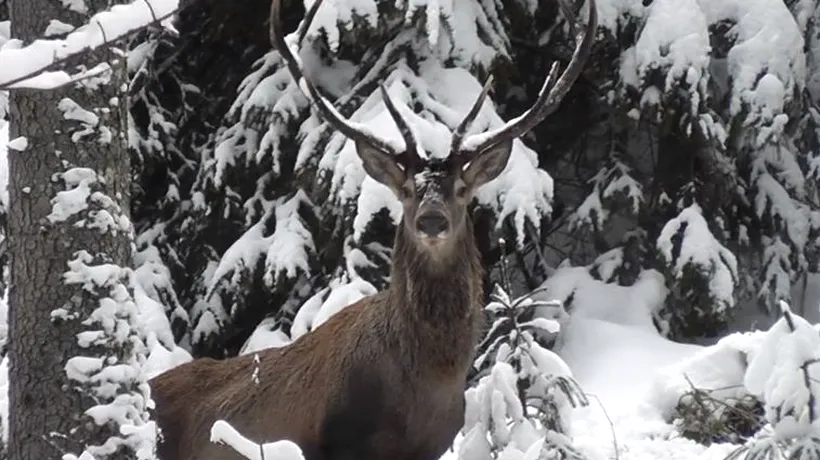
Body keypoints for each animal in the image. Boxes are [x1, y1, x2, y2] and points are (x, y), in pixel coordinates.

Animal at [149, 0, 596, 458]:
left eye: (461, 190)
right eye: (407, 191)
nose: (431, 219)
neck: (427, 387)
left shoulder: (434, 445)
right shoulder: (337, 441)